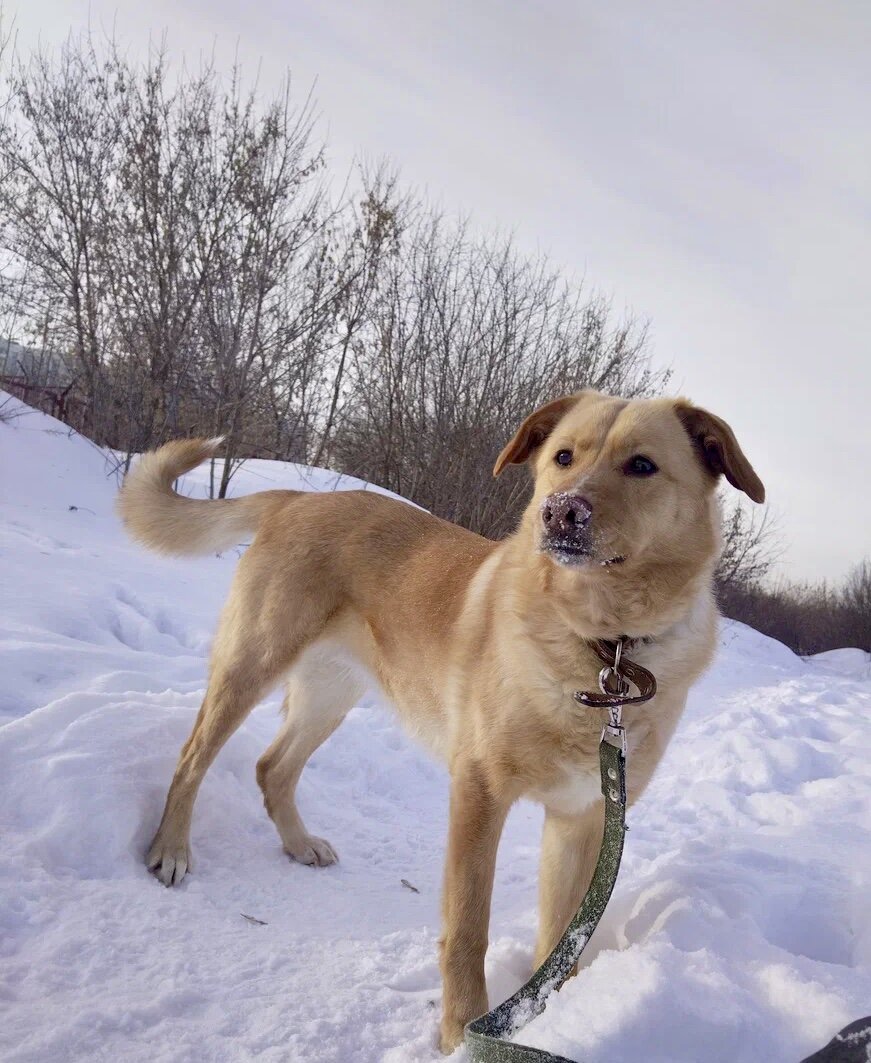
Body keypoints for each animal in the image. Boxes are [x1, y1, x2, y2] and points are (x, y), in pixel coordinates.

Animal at [117, 389, 761, 1045]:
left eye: (642, 466)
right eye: (563, 456)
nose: (562, 512)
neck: (605, 647)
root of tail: (300, 499)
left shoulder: (582, 818)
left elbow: (563, 940)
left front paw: (552, 1020)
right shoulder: (480, 793)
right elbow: (468, 929)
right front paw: (462, 1031)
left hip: (331, 693)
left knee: (273, 767)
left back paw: (298, 844)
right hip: (253, 663)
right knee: (193, 757)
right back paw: (171, 848)